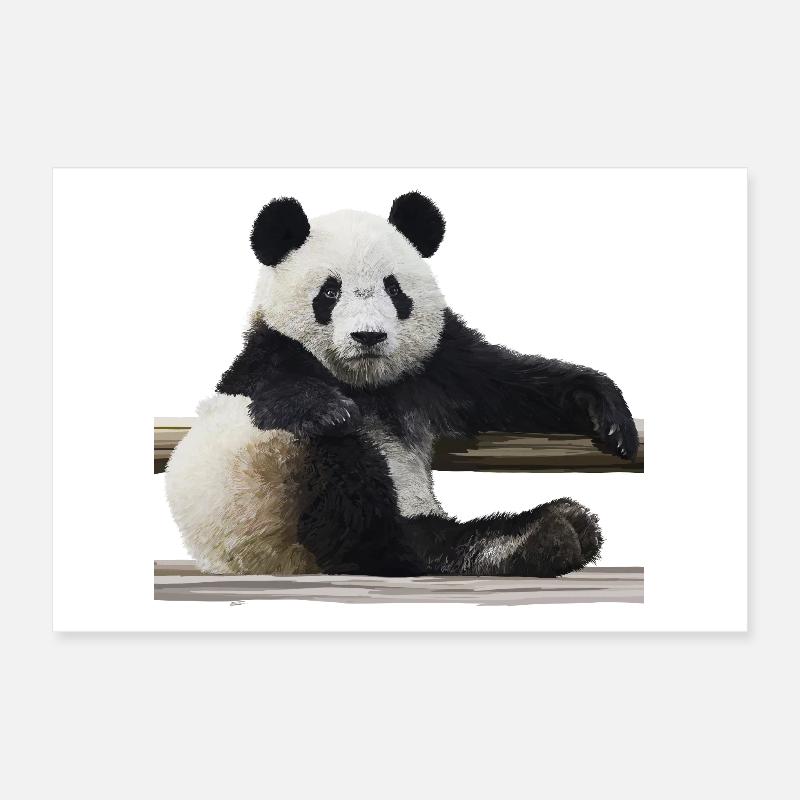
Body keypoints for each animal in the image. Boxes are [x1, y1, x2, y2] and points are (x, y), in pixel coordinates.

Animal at [165, 192, 639, 578]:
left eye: (393, 289)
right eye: (329, 292)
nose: (368, 336)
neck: (368, 384)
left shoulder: (438, 366)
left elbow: (512, 385)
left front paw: (607, 413)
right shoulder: (269, 358)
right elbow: (278, 393)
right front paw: (330, 410)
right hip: (270, 489)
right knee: (358, 511)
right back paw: (533, 537)